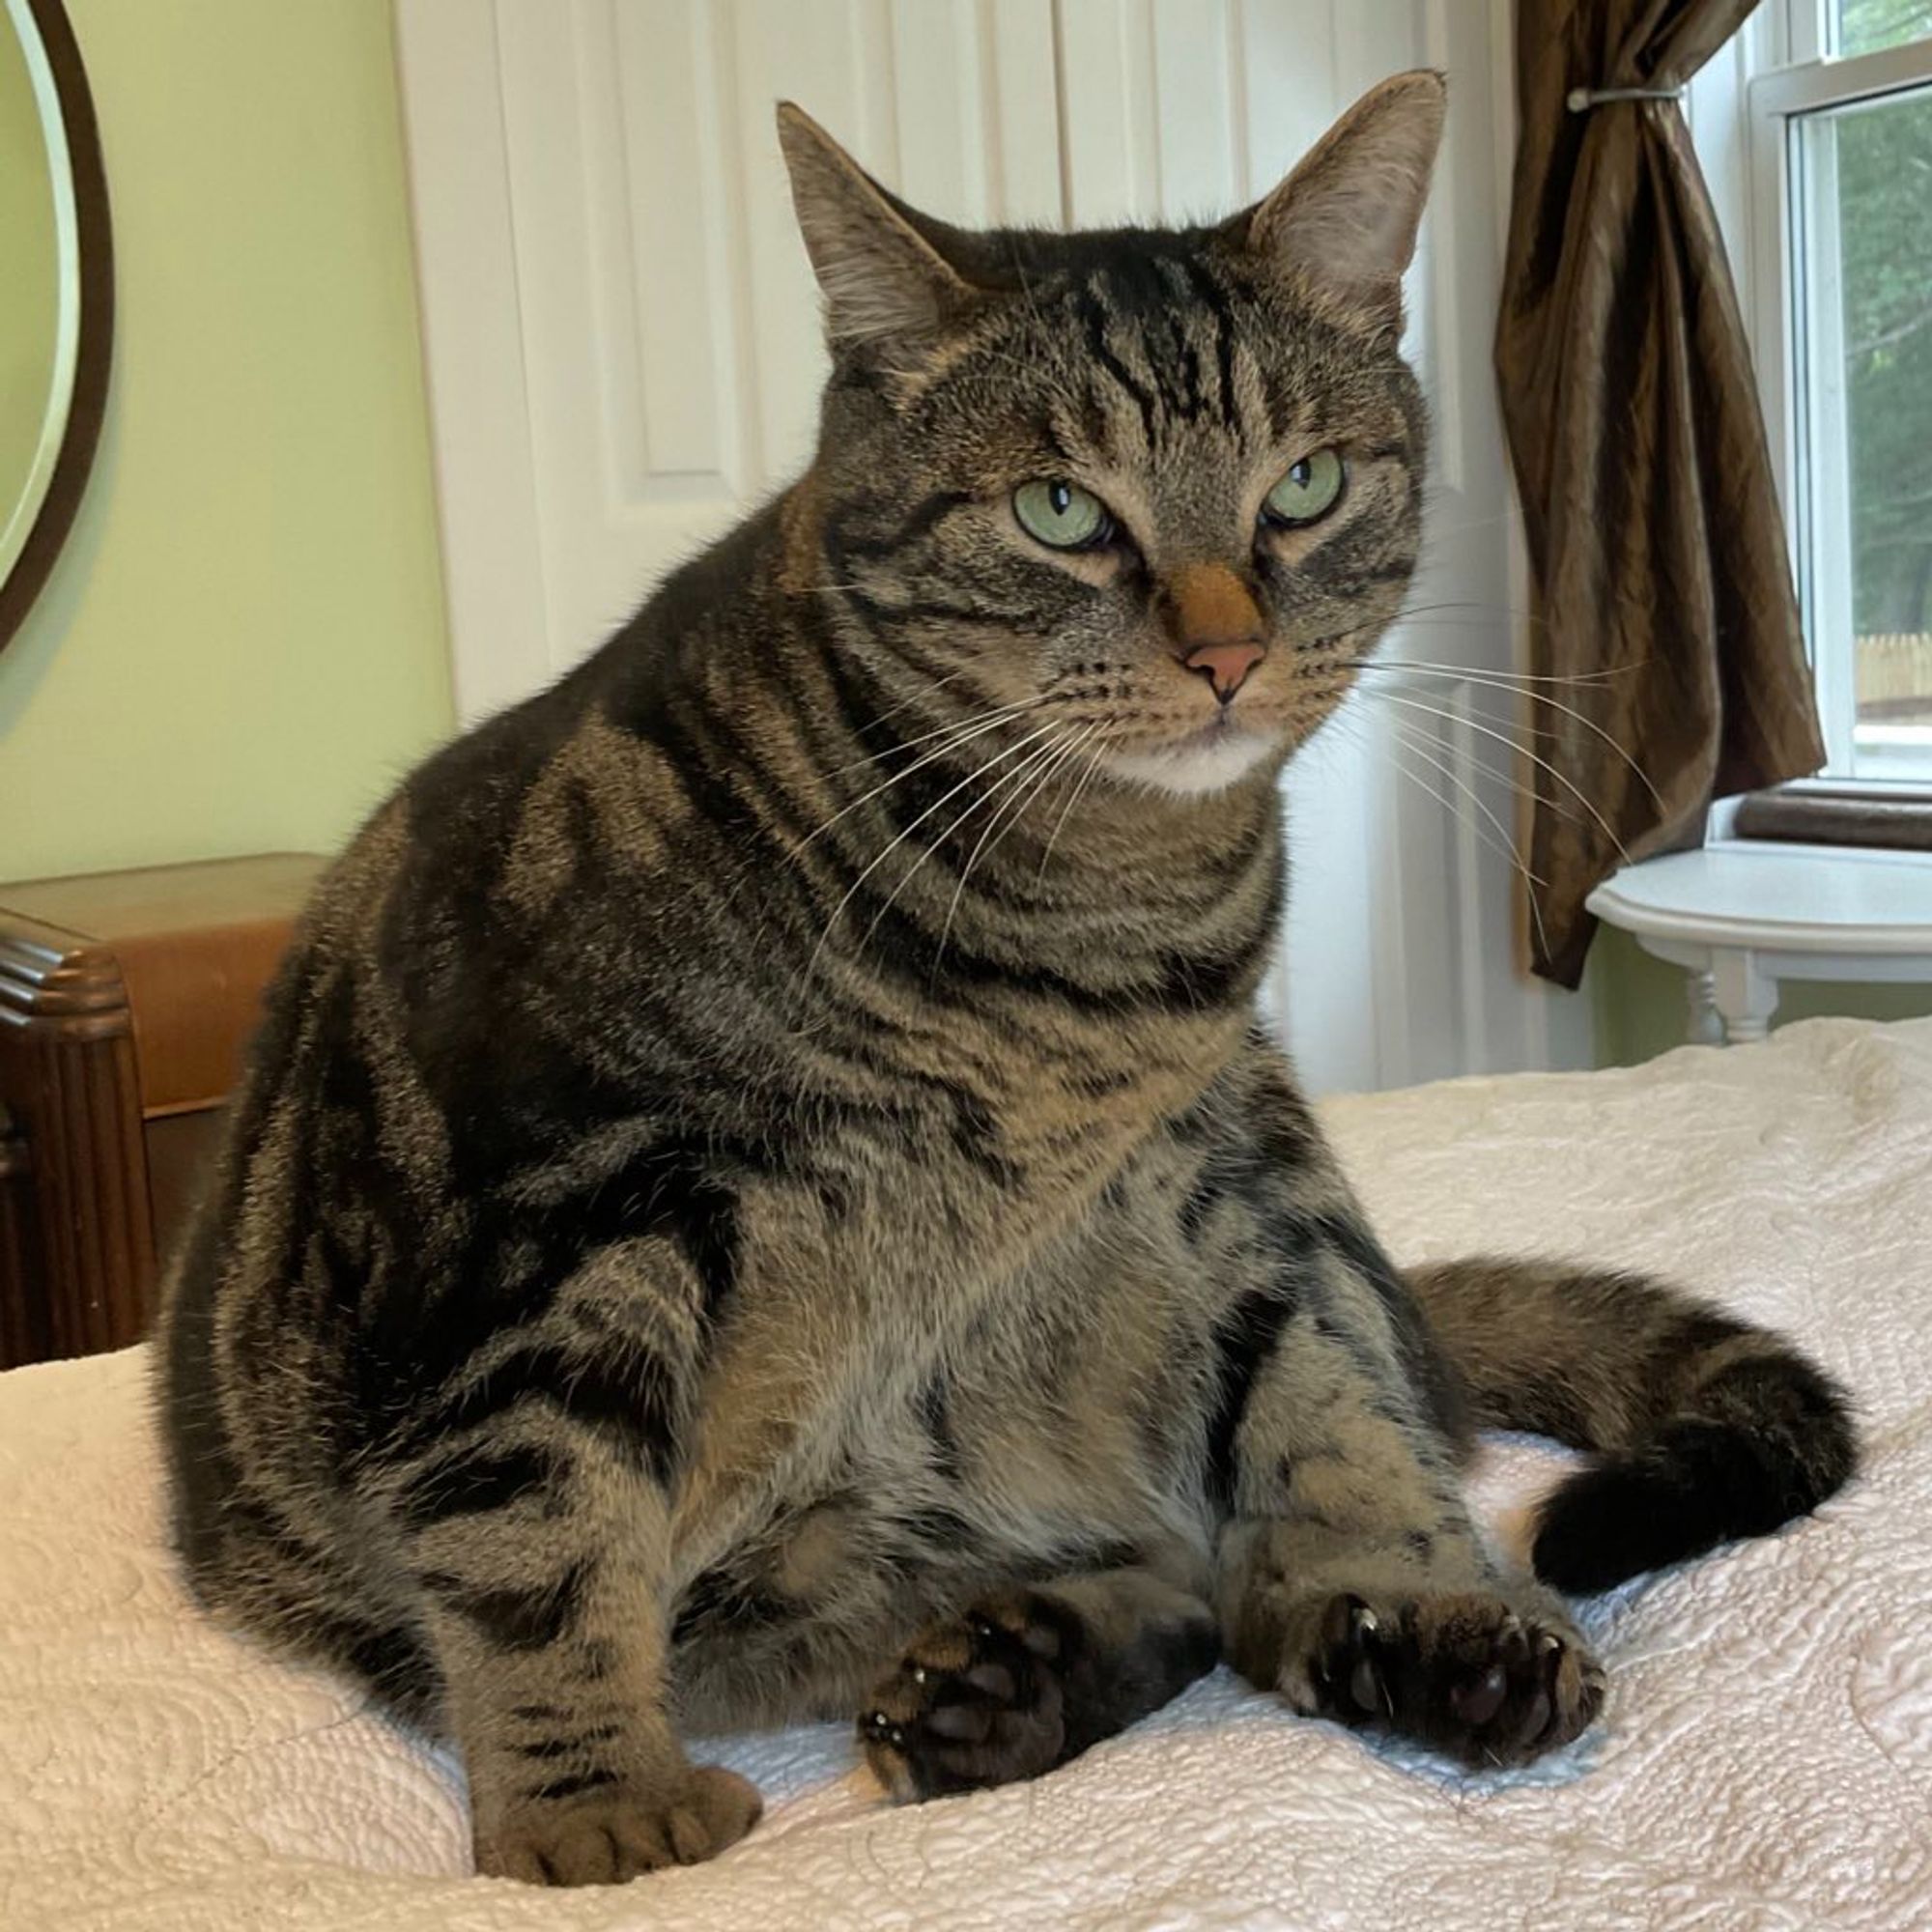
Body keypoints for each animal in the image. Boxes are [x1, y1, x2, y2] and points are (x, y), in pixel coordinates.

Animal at [158, 79, 1847, 1886]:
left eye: (1306, 485)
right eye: (1059, 511)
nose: (1227, 649)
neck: (1074, 941)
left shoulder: (1226, 1160)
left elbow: (1323, 1410)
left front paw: (1412, 1595)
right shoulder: (549, 1223)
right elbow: (542, 1527)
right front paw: (595, 1804)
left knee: (1261, 1527)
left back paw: (1266, 1646)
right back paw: (1002, 1675)